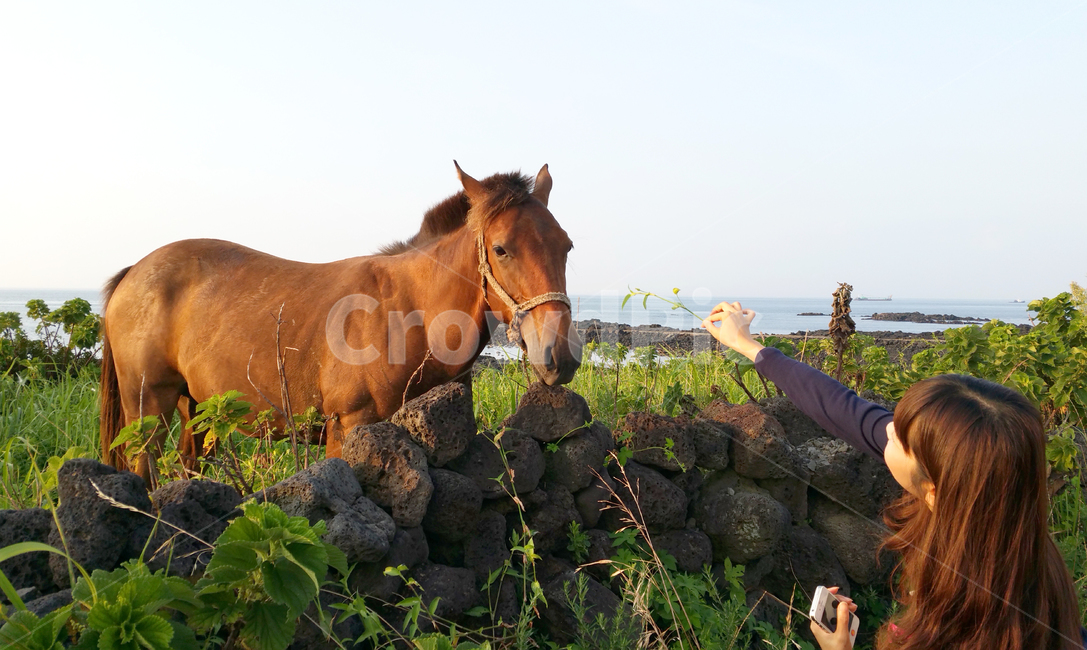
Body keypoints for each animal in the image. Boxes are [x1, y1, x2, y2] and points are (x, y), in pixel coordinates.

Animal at [99, 162, 581, 483]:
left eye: (567, 246)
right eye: (501, 249)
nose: (559, 354)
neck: (409, 316)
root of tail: (135, 271)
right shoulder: (346, 430)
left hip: (196, 409)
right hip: (148, 410)